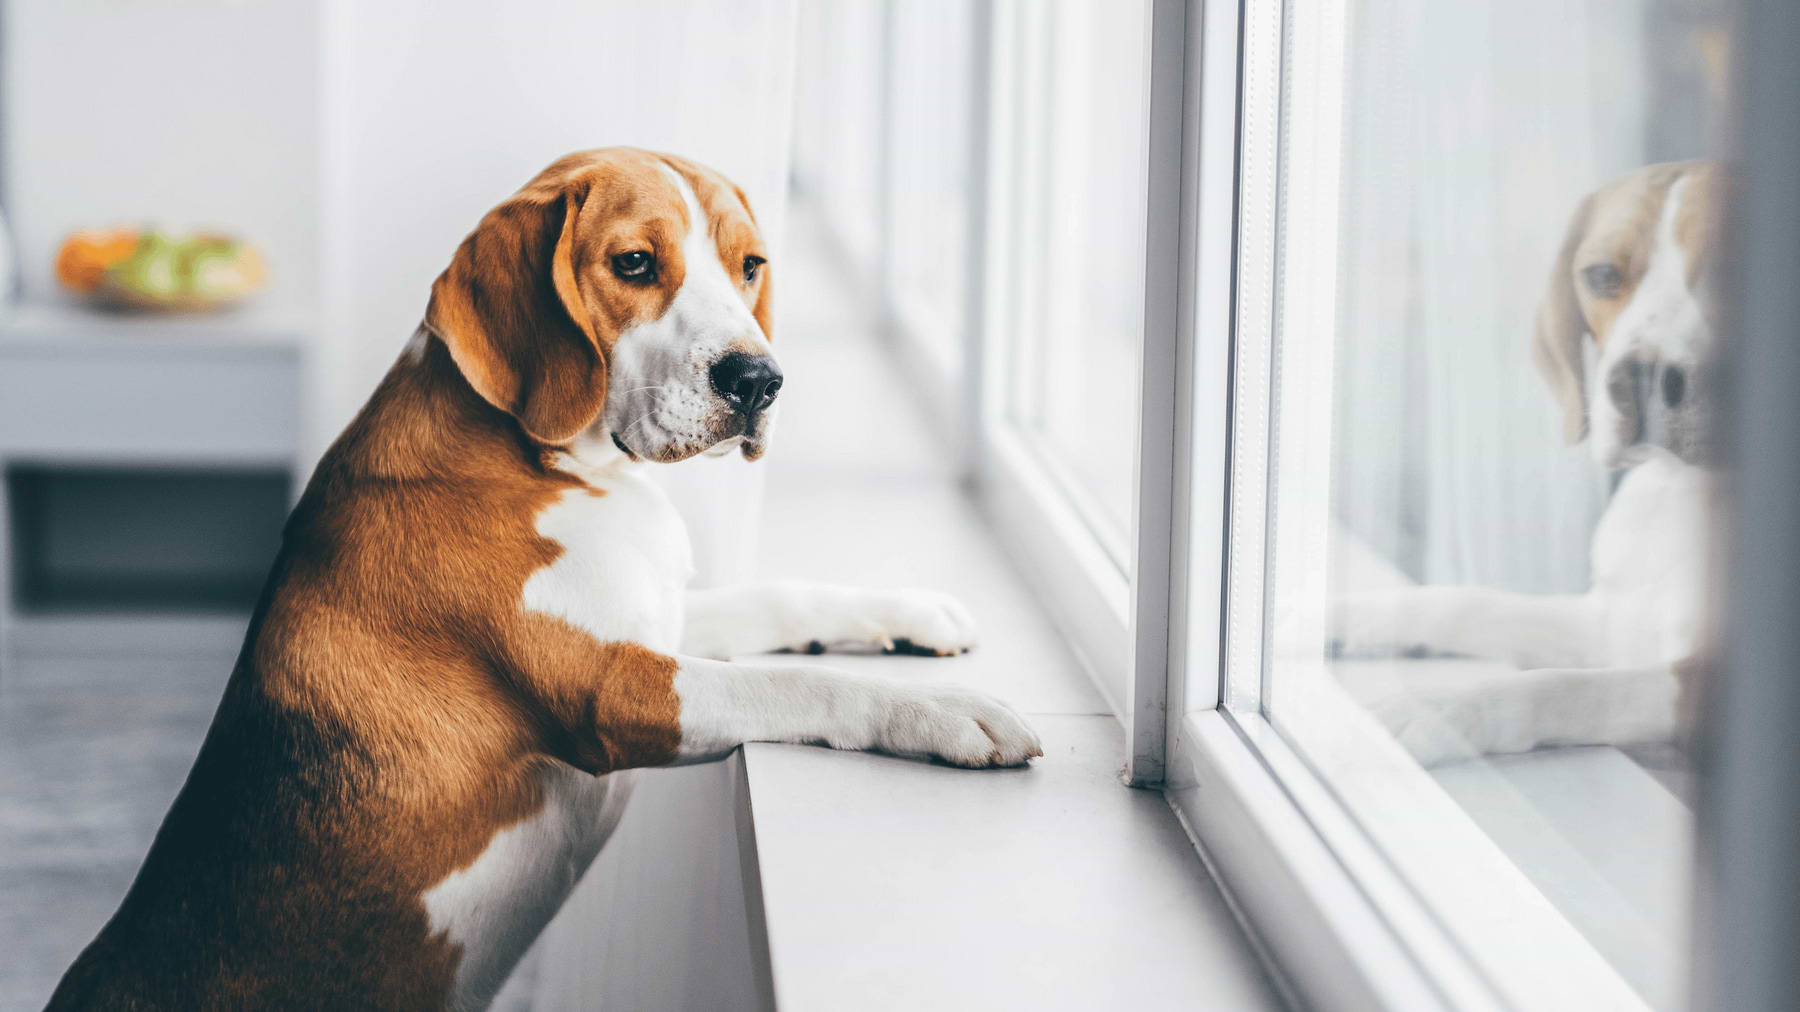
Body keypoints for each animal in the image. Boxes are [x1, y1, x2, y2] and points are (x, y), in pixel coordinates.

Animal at [49, 149, 1044, 1008]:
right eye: (635, 262)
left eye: (750, 265)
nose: (760, 379)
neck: (558, 464)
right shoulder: (618, 689)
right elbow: (797, 685)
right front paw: (950, 713)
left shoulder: (658, 621)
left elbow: (783, 598)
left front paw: (913, 609)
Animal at [1339, 157, 1728, 759]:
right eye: (1601, 275)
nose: (1637, 380)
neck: (1683, 493)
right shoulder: (1609, 624)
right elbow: (1464, 603)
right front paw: (1333, 613)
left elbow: (1570, 687)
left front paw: (1443, 709)